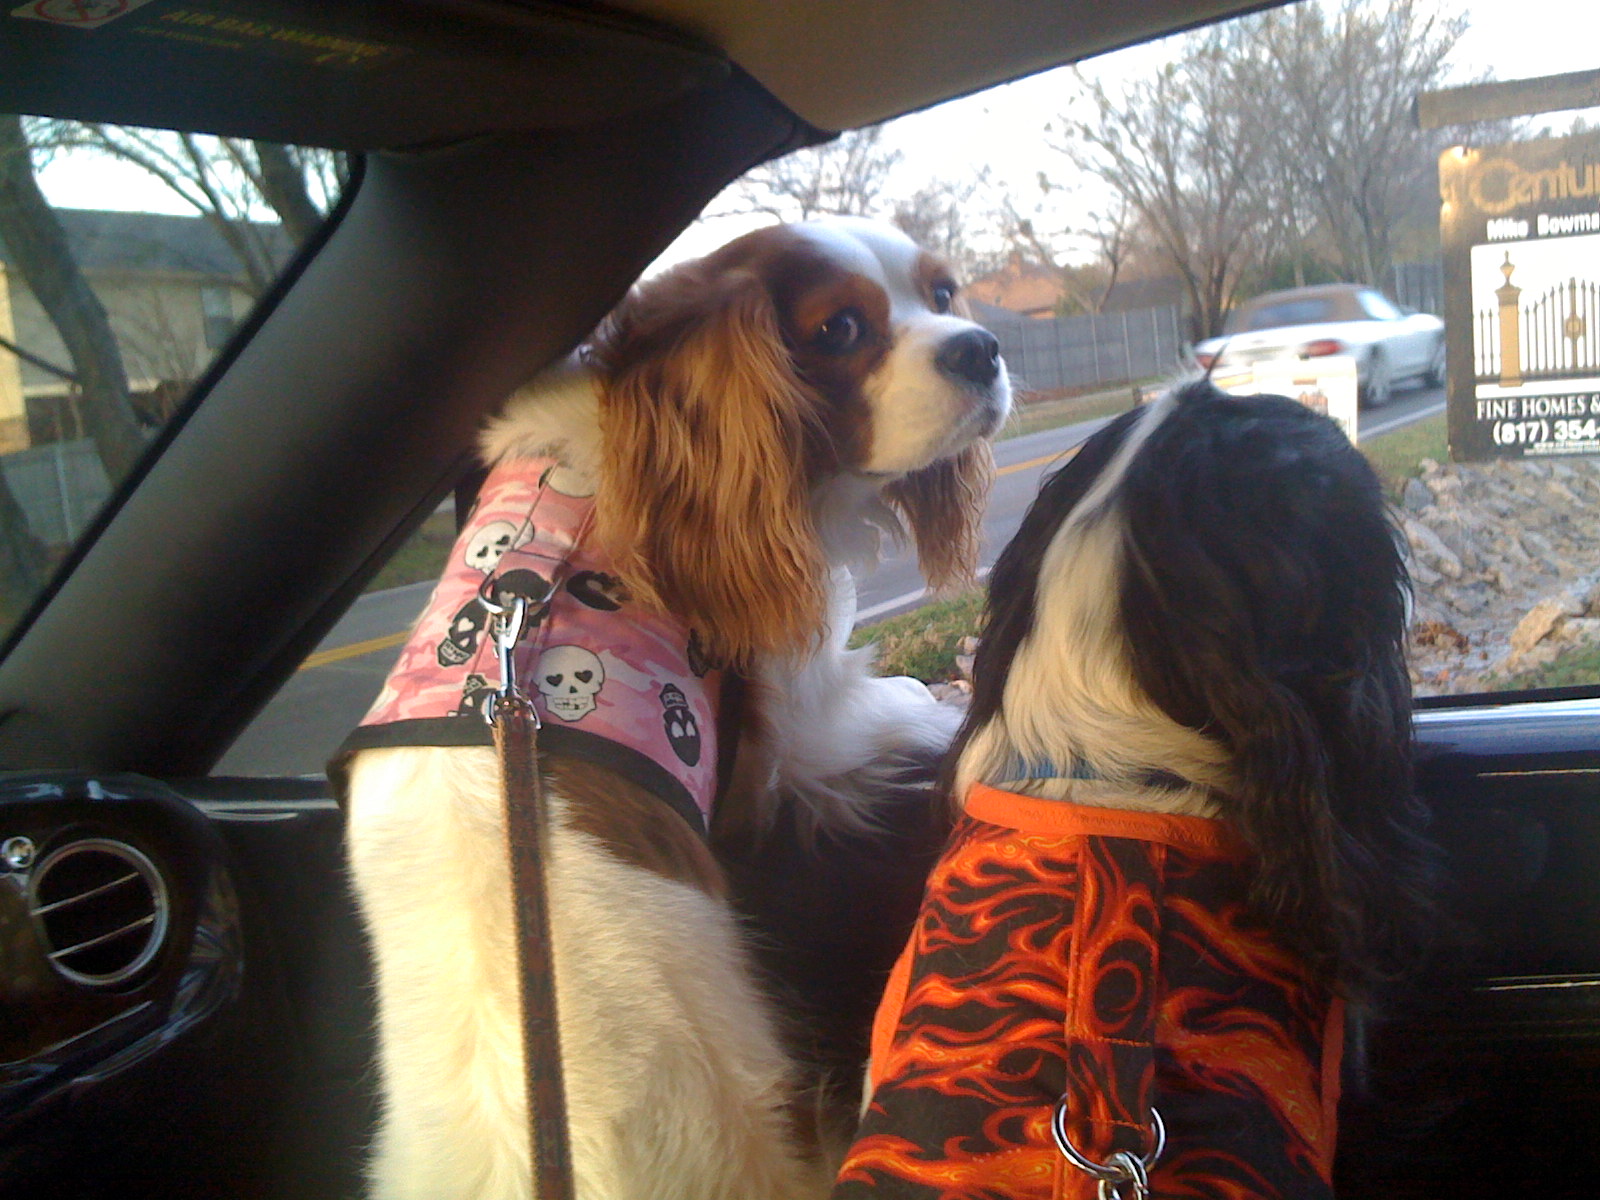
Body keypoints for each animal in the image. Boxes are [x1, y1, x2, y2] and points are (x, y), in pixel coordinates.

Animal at [338, 216, 1012, 1200]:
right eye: (841, 331)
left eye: (943, 293)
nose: (981, 346)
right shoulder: (794, 708)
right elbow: (886, 707)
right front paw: (950, 704)